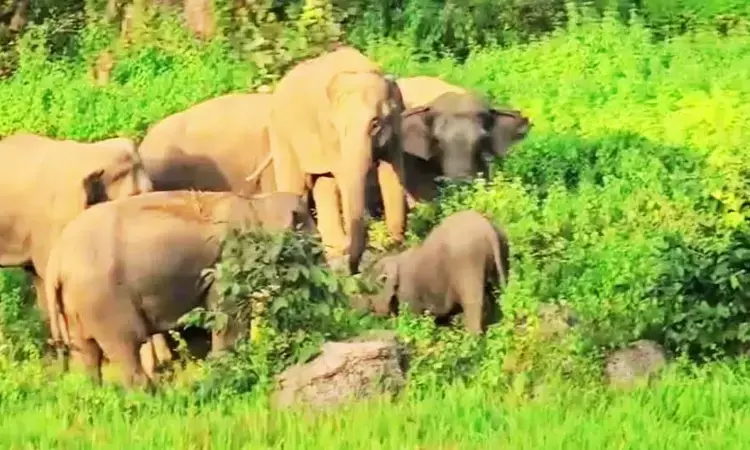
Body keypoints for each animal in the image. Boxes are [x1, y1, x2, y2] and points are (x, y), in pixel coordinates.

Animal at [44, 190, 315, 390]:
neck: (257, 203)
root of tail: (56, 258)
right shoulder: (228, 263)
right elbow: (229, 317)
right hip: (104, 300)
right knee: (127, 345)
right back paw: (153, 397)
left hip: (75, 304)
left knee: (87, 353)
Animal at [267, 45, 407, 275]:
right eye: (336, 126)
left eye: (375, 123)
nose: (355, 270)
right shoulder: (328, 133)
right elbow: (344, 176)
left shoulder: (396, 127)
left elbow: (392, 173)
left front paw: (395, 244)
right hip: (281, 133)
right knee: (296, 187)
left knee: (324, 184)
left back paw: (334, 253)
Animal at [366, 210, 510, 334]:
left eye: (372, 291)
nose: (372, 310)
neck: (395, 258)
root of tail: (488, 228)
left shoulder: (408, 291)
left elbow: (412, 316)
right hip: (503, 250)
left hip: (468, 262)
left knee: (474, 302)